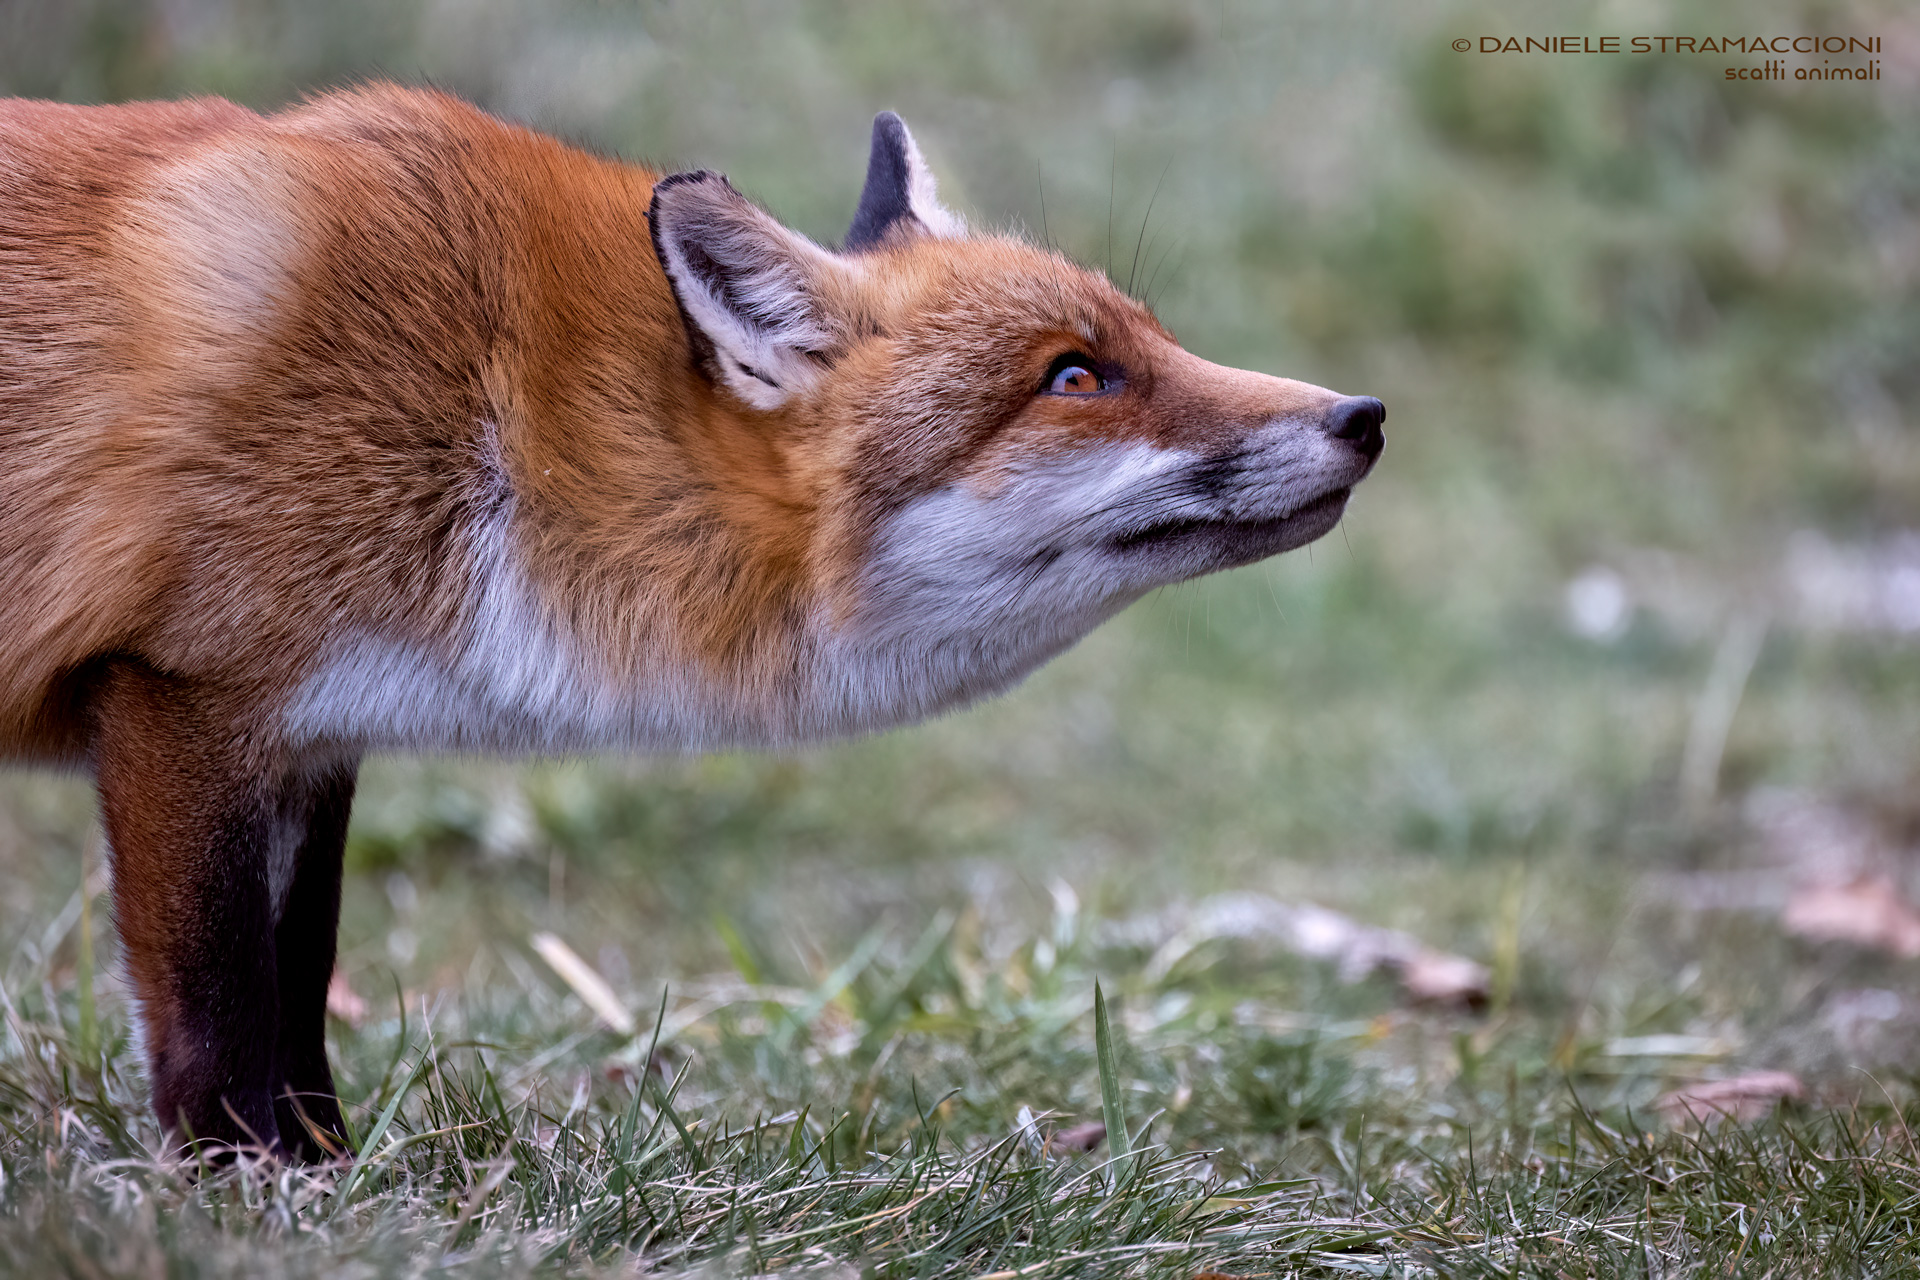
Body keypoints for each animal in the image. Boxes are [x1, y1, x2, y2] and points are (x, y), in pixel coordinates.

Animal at [0, 85, 1383, 1161]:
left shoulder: (311, 735)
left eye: (1156, 338)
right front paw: (256, 1190)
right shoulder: (187, 698)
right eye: (1076, 376)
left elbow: (295, 992)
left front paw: (334, 1176)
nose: (1364, 415)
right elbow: (219, 1016)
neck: (488, 413)